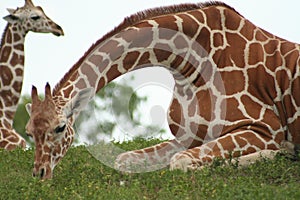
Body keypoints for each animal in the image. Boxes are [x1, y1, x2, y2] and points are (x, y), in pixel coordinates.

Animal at [24, 0, 298, 179]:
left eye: (60, 128)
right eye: (28, 132)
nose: (40, 172)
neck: (188, 65)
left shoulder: (264, 128)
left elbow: (180, 162)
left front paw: (276, 152)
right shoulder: (188, 135)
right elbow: (123, 160)